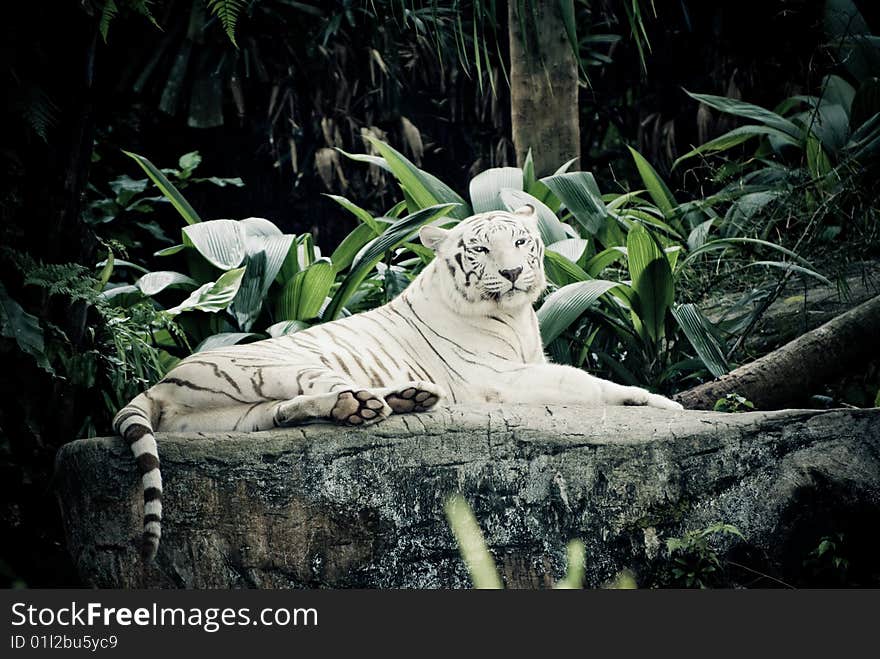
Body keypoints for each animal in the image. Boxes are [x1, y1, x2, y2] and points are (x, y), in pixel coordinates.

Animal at [113, 206, 684, 564]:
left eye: (522, 242)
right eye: (481, 250)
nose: (513, 272)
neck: (516, 315)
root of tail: (160, 383)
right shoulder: (498, 379)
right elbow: (579, 379)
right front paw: (655, 400)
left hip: (233, 416)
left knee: (279, 412)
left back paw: (400, 398)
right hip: (283, 363)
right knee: (326, 391)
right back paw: (380, 402)